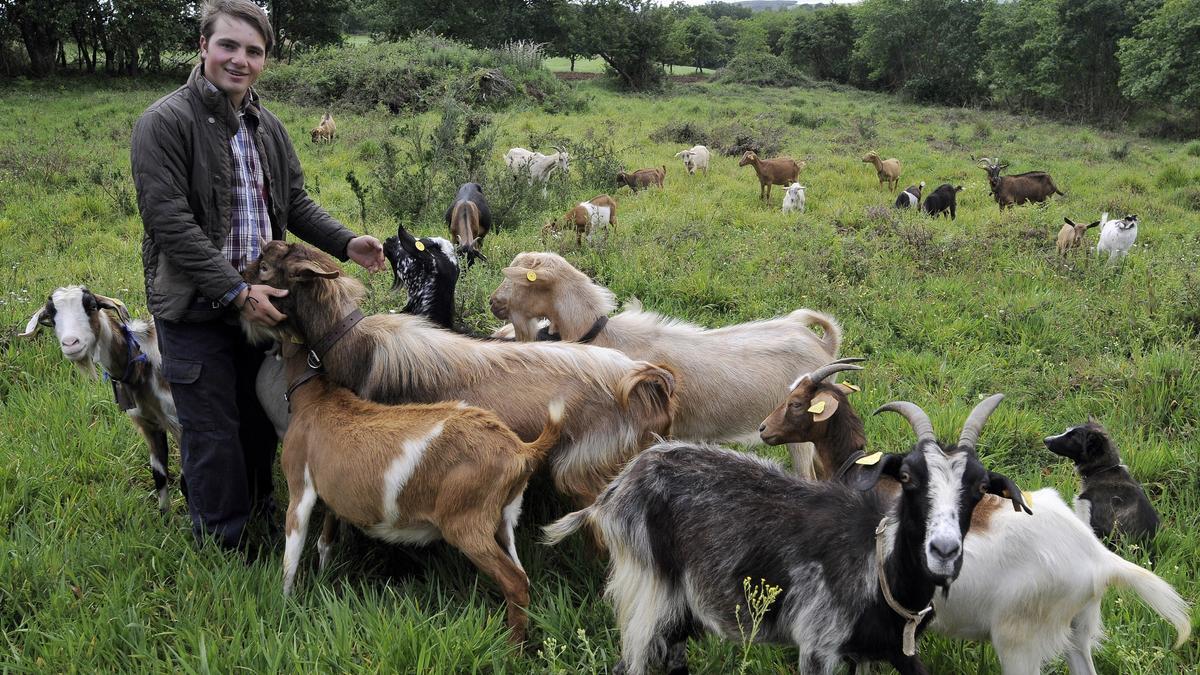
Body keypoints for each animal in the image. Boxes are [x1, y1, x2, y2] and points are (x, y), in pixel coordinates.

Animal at [20, 283, 177, 509]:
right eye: (51, 315)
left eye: (92, 306)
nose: (71, 343)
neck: (143, 362)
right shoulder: (147, 424)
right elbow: (159, 476)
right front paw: (164, 515)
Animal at [278, 336, 564, 638]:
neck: (317, 399)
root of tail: (522, 450)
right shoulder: (332, 498)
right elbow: (324, 542)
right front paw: (322, 580)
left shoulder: (299, 484)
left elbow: (291, 554)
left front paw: (285, 606)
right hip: (504, 519)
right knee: (524, 576)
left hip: (467, 524)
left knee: (515, 582)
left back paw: (511, 646)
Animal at [549, 393, 1027, 672]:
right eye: (907, 477)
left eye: (980, 487)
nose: (943, 550)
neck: (877, 568)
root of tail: (615, 489)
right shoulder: (818, 646)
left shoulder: (879, 653)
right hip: (650, 591)